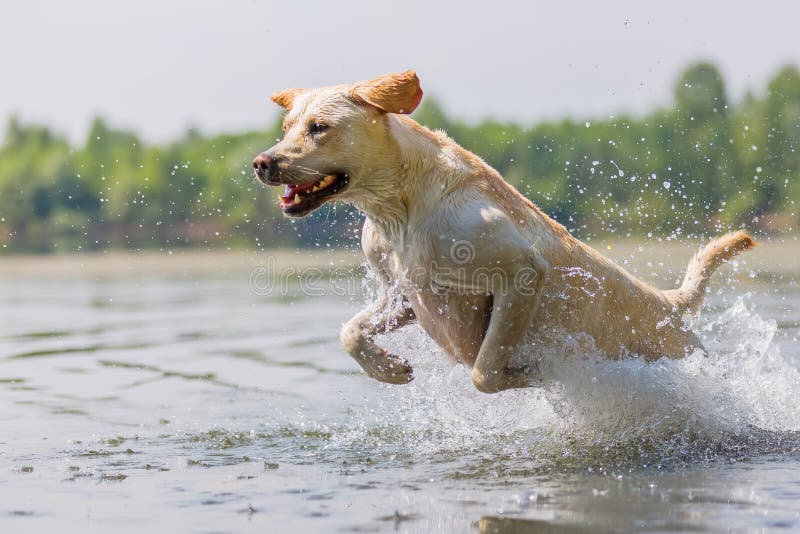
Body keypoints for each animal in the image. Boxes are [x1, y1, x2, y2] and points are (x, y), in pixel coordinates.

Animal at [253, 71, 752, 394]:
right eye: (287, 128)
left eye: (320, 128)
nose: (262, 162)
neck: (401, 205)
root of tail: (670, 303)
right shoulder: (402, 295)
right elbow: (350, 332)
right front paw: (388, 368)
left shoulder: (520, 271)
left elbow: (483, 369)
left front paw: (532, 375)